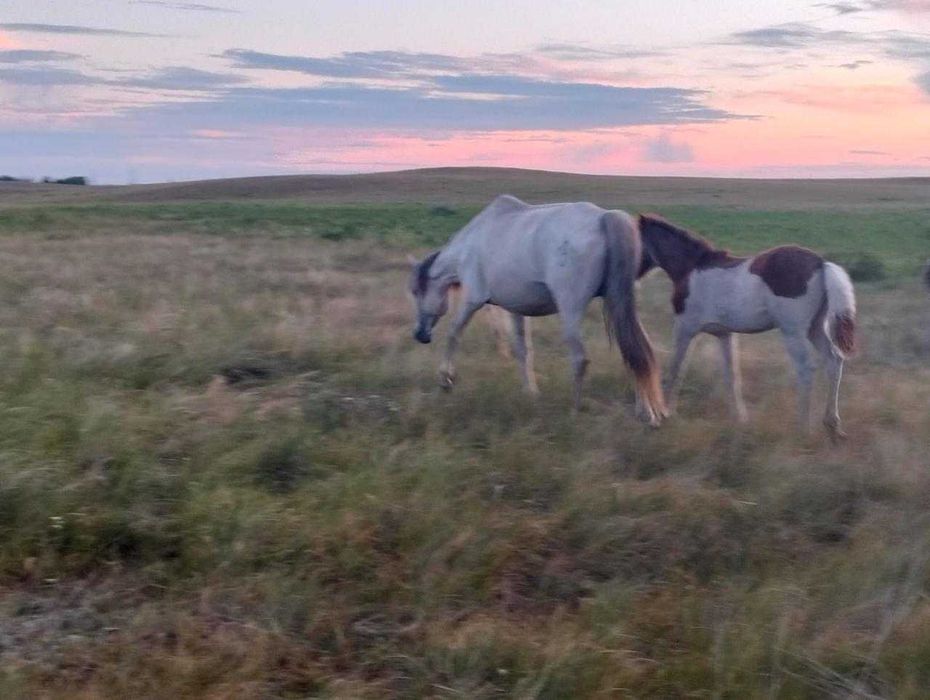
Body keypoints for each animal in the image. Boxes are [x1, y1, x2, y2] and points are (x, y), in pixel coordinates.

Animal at [407, 194, 667, 424]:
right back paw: (648, 413)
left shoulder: (473, 300)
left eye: (416, 291)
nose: (419, 334)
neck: (470, 245)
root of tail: (604, 217)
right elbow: (523, 351)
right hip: (619, 302)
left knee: (580, 359)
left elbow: (453, 333)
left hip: (570, 309)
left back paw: (574, 413)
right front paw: (530, 393)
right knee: (637, 351)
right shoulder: (517, 310)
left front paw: (446, 379)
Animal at [637, 213, 856, 441]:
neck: (691, 267)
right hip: (815, 328)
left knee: (806, 369)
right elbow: (732, 376)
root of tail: (821, 263)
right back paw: (832, 426)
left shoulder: (685, 328)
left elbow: (675, 369)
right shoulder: (724, 334)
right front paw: (739, 419)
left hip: (793, 332)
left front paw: (665, 414)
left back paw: (803, 429)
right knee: (834, 361)